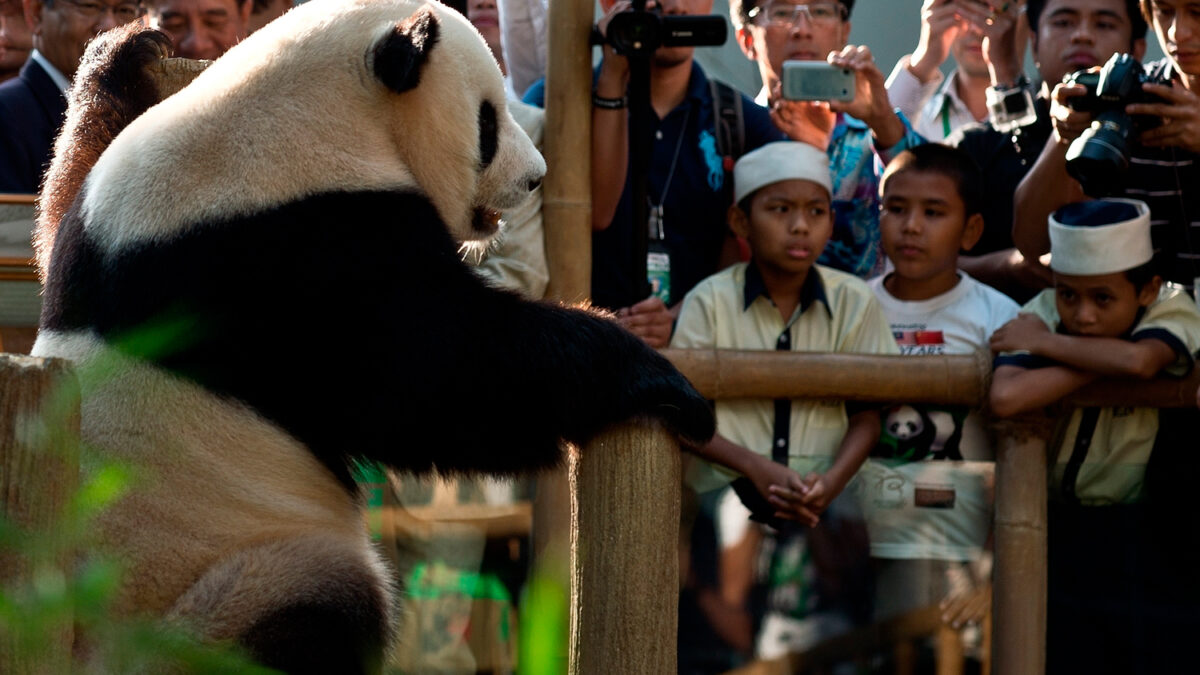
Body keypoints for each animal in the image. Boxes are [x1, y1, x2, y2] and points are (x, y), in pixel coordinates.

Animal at [32, 2, 715, 667]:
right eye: (488, 120)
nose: (536, 178)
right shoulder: (299, 252)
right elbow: (447, 373)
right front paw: (663, 383)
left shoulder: (108, 219)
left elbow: (61, 210)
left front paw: (123, 55)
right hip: (216, 580)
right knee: (319, 612)